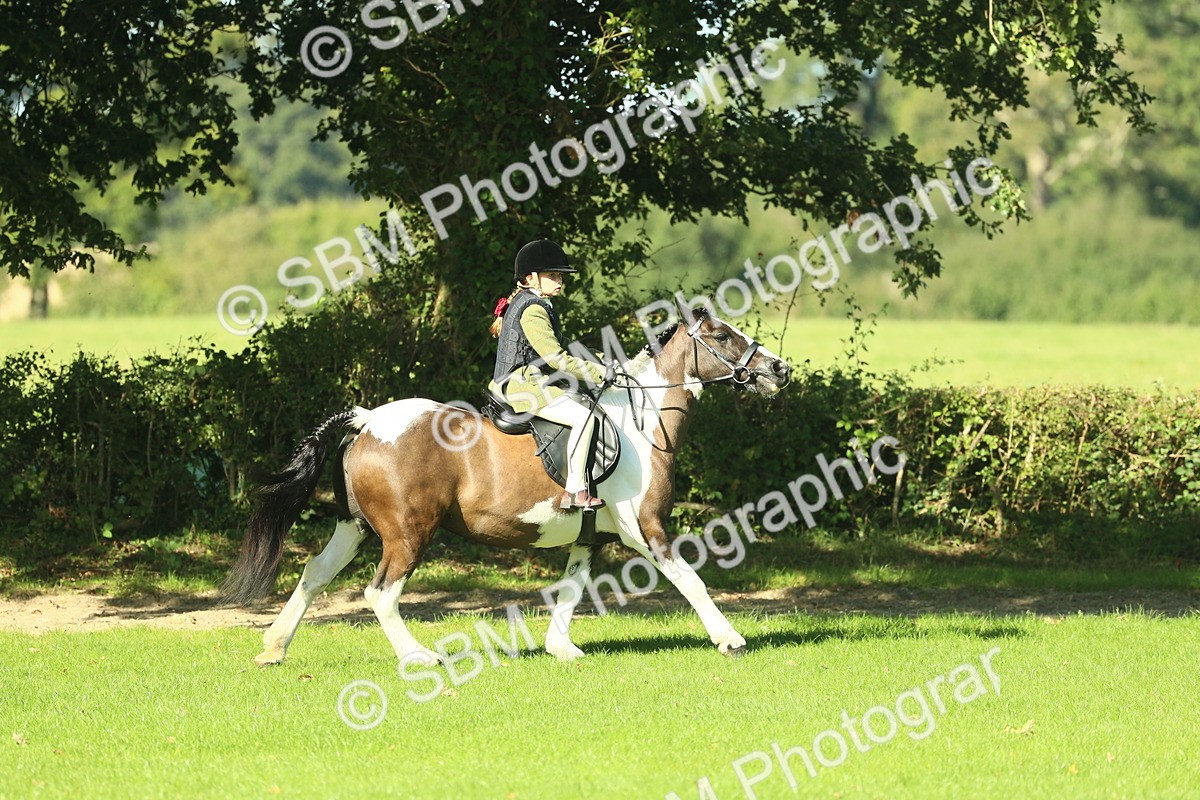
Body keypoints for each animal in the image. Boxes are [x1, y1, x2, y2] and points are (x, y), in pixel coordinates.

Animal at [223, 301, 791, 668]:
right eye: (723, 337)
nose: (779, 370)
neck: (642, 420)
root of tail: (367, 420)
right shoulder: (645, 528)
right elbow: (689, 579)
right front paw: (730, 639)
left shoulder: (591, 536)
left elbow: (572, 588)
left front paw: (562, 649)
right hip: (408, 533)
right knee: (380, 592)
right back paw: (419, 656)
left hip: (355, 526)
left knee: (315, 574)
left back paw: (273, 649)